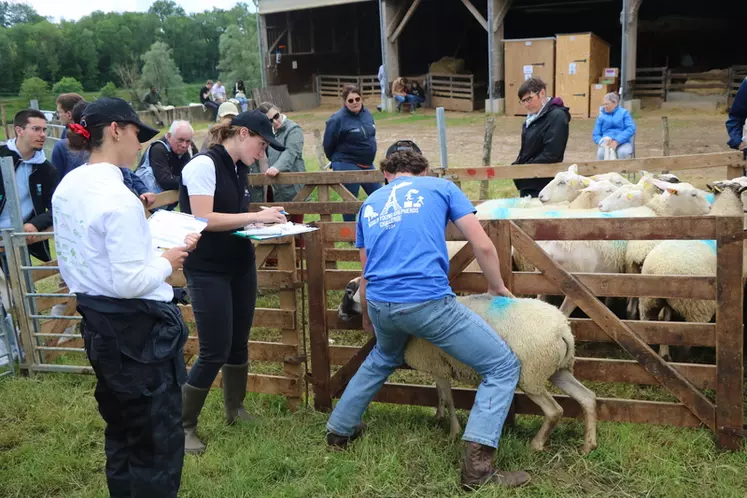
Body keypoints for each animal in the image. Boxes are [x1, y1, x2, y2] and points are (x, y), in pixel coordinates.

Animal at [336, 282, 600, 454]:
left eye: (348, 293)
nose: (339, 313)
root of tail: (563, 331)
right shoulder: (439, 366)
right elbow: (440, 394)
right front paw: (438, 416)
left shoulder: (439, 367)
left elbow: (449, 399)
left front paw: (453, 431)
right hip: (558, 369)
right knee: (587, 398)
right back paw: (588, 446)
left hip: (531, 374)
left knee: (555, 410)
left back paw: (536, 445)